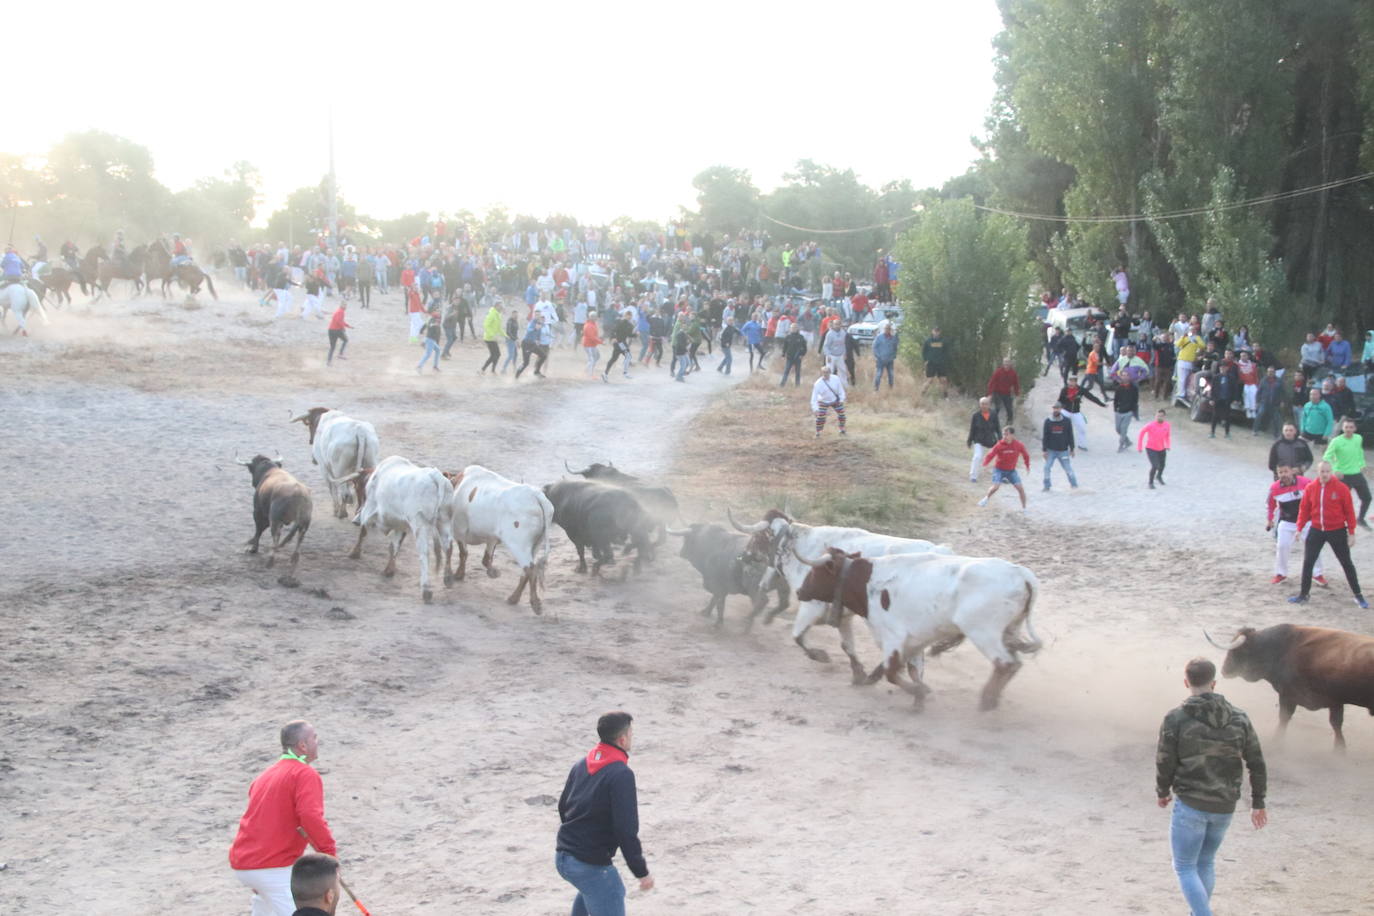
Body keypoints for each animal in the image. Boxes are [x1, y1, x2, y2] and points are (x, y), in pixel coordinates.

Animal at [354, 455, 456, 601]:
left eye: (360, 491)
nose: (355, 519)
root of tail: (436, 476)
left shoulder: (372, 512)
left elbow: (366, 527)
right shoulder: (400, 524)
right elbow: (394, 546)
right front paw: (389, 570)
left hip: (420, 524)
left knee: (424, 553)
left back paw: (426, 590)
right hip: (444, 520)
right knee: (448, 547)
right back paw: (448, 578)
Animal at [667, 521, 796, 631]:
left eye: (686, 539)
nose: (681, 553)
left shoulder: (717, 585)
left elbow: (719, 604)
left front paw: (718, 624)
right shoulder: (720, 588)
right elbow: (714, 600)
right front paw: (705, 612)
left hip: (754, 587)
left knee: (761, 602)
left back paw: (747, 624)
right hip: (783, 587)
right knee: (784, 604)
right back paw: (767, 619)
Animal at [736, 513, 950, 683]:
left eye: (757, 537)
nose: (744, 556)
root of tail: (939, 550)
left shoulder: (811, 607)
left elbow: (798, 636)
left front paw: (821, 656)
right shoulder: (843, 615)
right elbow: (847, 646)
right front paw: (858, 673)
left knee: (912, 658)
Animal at [796, 549, 1038, 714]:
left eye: (815, 572)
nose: (799, 591)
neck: (868, 583)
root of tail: (1023, 575)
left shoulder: (893, 637)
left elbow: (892, 672)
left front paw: (918, 693)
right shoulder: (916, 641)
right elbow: (913, 671)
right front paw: (918, 700)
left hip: (983, 633)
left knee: (1005, 663)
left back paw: (987, 700)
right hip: (1009, 631)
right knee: (1015, 663)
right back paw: (993, 699)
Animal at [1209, 623, 1374, 752]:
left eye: (1237, 651)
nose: (1223, 670)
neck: (1282, 648)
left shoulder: (1290, 695)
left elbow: (1285, 717)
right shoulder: (1334, 702)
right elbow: (1336, 724)